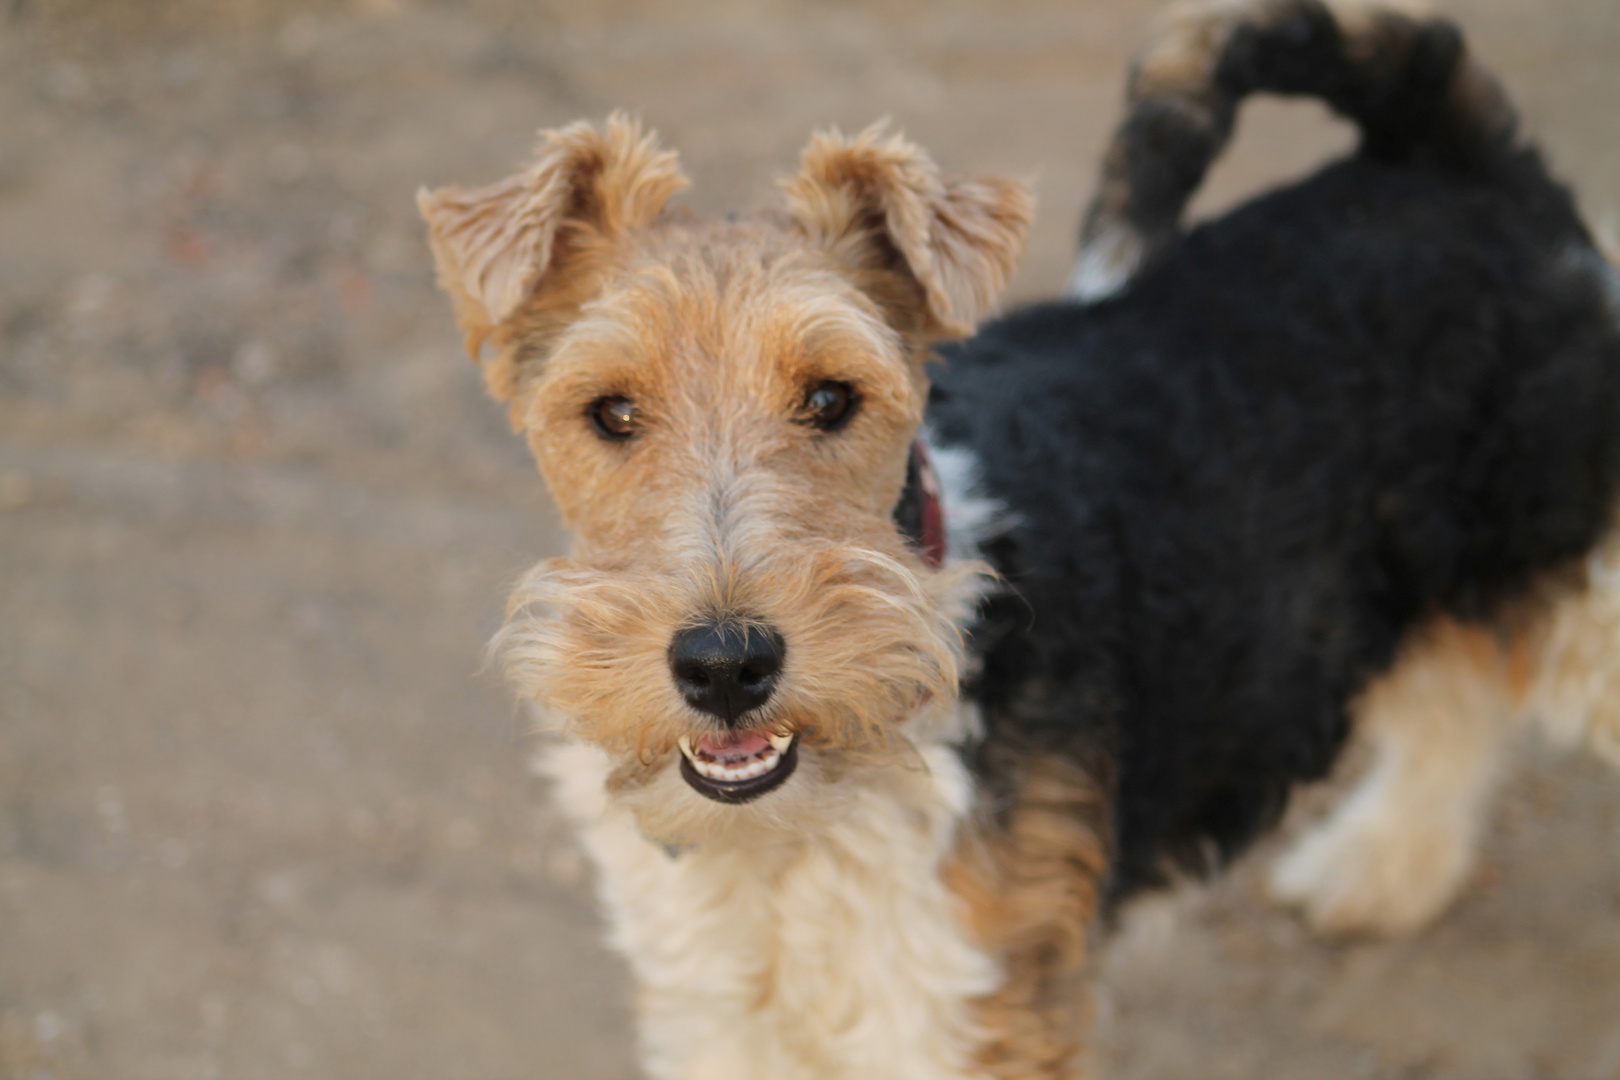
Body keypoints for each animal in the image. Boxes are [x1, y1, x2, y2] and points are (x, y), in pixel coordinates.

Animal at [417, 4, 1620, 1075]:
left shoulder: (965, 1010)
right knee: (1456, 693)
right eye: (610, 411)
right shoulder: (724, 1013)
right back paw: (1377, 873)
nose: (724, 665)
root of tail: (1456, 159)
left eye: (832, 397)